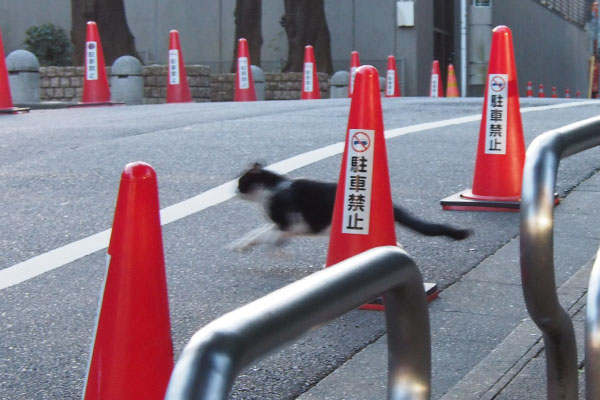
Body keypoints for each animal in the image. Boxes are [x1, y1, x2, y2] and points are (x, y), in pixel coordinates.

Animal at [232, 162, 472, 250]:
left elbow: (268, 234)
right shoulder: (283, 223)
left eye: (241, 182)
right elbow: (258, 232)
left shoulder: (292, 222)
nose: (233, 190)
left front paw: (266, 243)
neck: (274, 188)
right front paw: (243, 244)